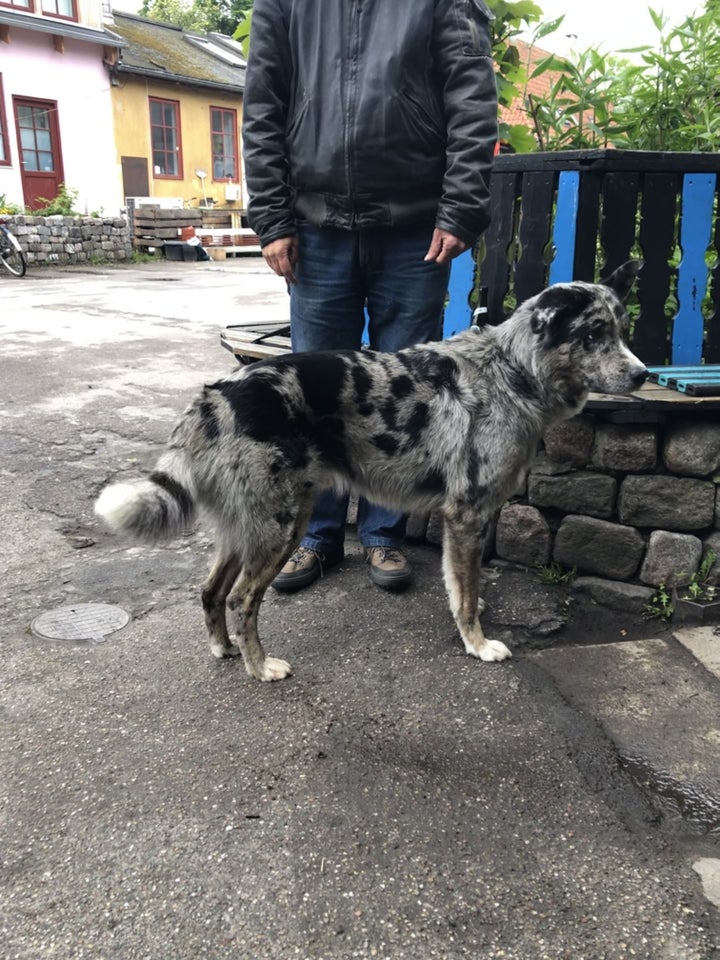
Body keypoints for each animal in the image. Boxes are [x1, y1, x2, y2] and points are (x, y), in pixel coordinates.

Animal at [94, 262, 648, 684]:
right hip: (281, 525)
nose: (644, 375)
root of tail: (214, 396)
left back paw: (225, 649)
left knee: (211, 592)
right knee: (241, 598)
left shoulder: (467, 518)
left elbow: (461, 585)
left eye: (622, 331)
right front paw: (478, 643)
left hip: (247, 526)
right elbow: (466, 595)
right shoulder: (466, 513)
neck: (512, 371)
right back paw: (259, 666)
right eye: (594, 334)